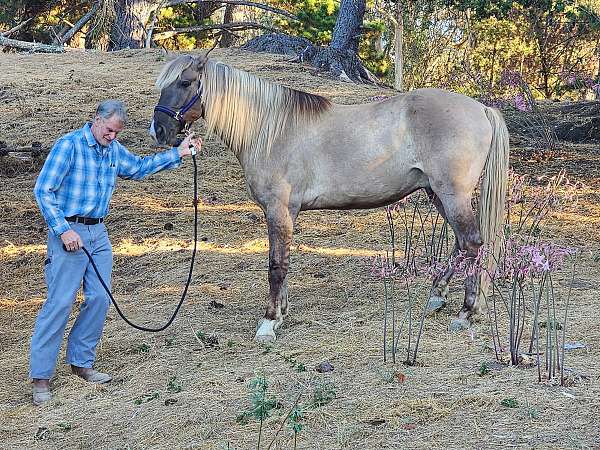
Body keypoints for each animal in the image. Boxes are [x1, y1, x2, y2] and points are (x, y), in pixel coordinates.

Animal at [148, 51, 508, 342]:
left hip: (452, 194)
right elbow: (284, 262)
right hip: (437, 194)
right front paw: (281, 314)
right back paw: (437, 296)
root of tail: (481, 108)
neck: (272, 131)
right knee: (462, 244)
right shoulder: (286, 214)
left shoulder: (278, 209)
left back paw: (466, 312)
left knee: (472, 243)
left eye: (185, 82)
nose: (159, 130)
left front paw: (268, 324)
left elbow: (276, 264)